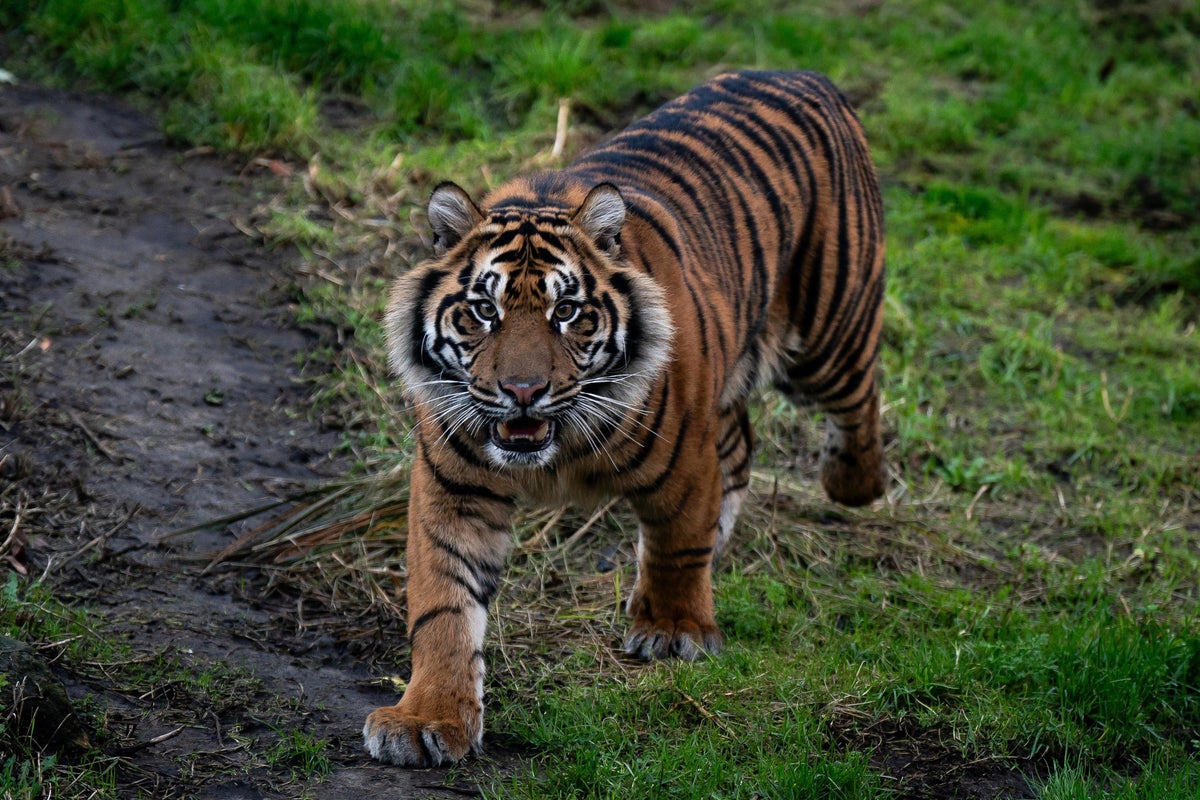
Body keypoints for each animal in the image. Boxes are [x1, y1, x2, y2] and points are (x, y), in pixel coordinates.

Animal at [364, 70, 886, 766]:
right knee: (740, 447)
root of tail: (809, 75)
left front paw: (672, 629)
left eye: (566, 312)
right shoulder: (455, 489)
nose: (522, 390)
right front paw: (426, 719)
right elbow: (443, 607)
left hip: (828, 334)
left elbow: (676, 543)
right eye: (483, 311)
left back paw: (853, 483)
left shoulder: (685, 455)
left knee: (856, 402)